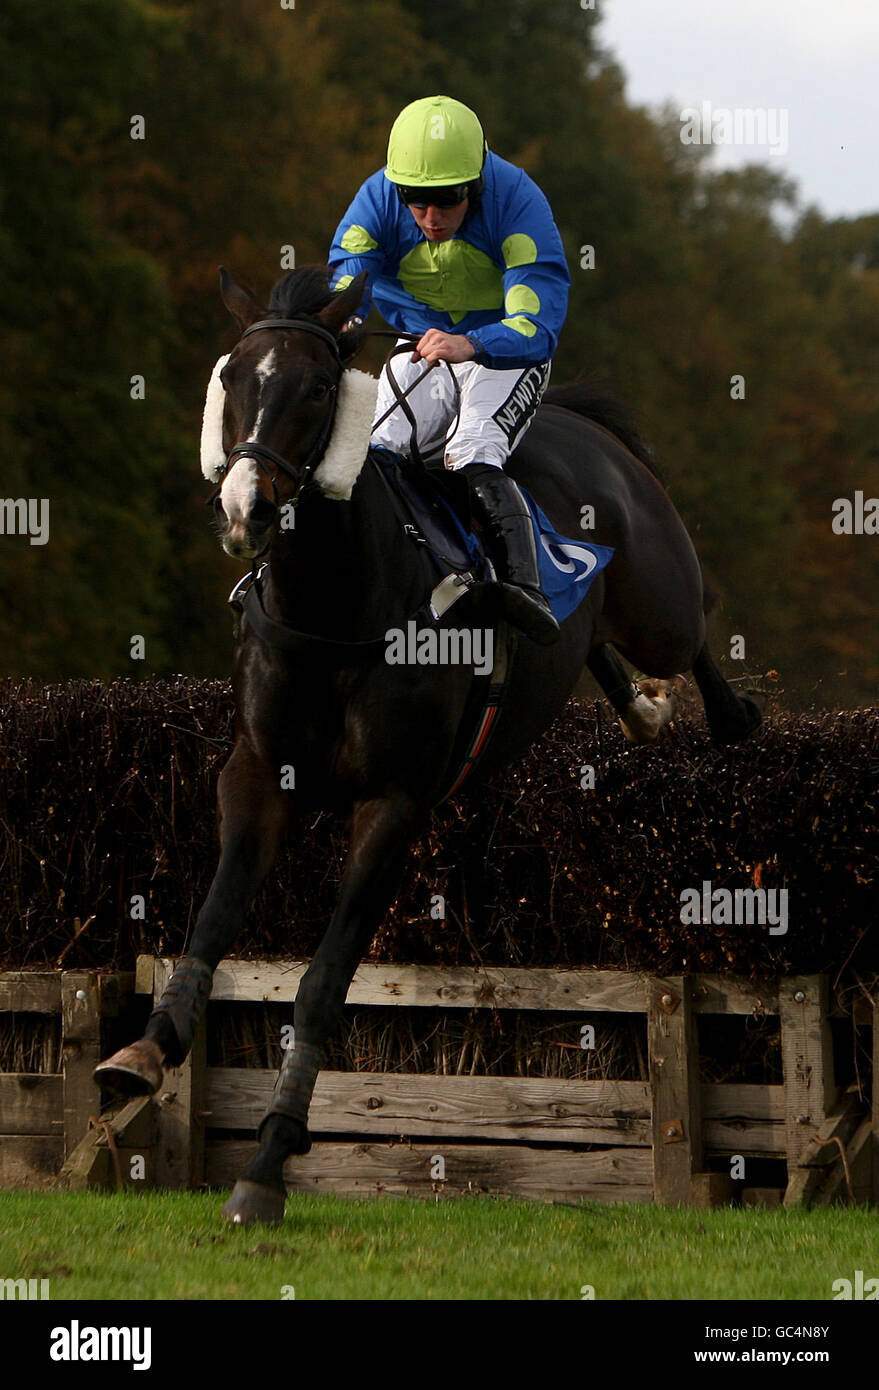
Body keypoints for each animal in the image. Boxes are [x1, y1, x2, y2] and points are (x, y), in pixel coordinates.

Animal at [92, 265, 756, 1223]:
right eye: (233, 378)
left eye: (318, 388)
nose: (245, 509)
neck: (334, 605)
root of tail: (582, 420)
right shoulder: (254, 775)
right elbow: (211, 921)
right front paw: (142, 1052)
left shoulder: (394, 803)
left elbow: (323, 983)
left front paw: (268, 1164)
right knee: (592, 639)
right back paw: (639, 708)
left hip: (657, 594)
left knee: (691, 626)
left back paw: (720, 715)